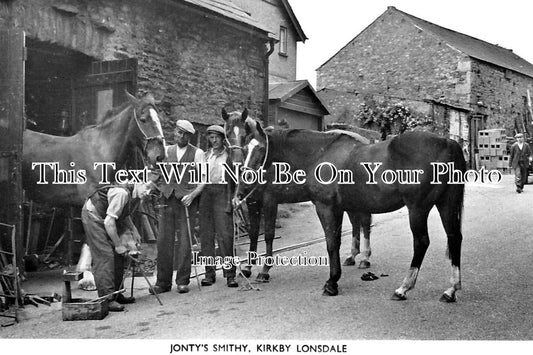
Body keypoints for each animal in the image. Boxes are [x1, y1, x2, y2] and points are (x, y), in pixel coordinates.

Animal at [222, 108, 372, 284]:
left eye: (244, 133)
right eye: (227, 132)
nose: (238, 163)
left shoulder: (270, 201)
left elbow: (268, 235)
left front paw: (265, 270)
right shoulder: (253, 202)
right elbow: (253, 233)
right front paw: (247, 268)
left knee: (365, 224)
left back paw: (365, 258)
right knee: (355, 223)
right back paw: (353, 256)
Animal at [235, 122, 464, 304]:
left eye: (260, 148)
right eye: (244, 148)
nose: (243, 186)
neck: (319, 154)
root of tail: (448, 143)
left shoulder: (325, 207)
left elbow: (331, 243)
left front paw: (332, 283)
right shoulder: (338, 209)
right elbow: (337, 241)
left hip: (417, 208)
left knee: (421, 242)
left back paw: (403, 289)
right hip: (446, 204)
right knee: (454, 237)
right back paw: (451, 290)